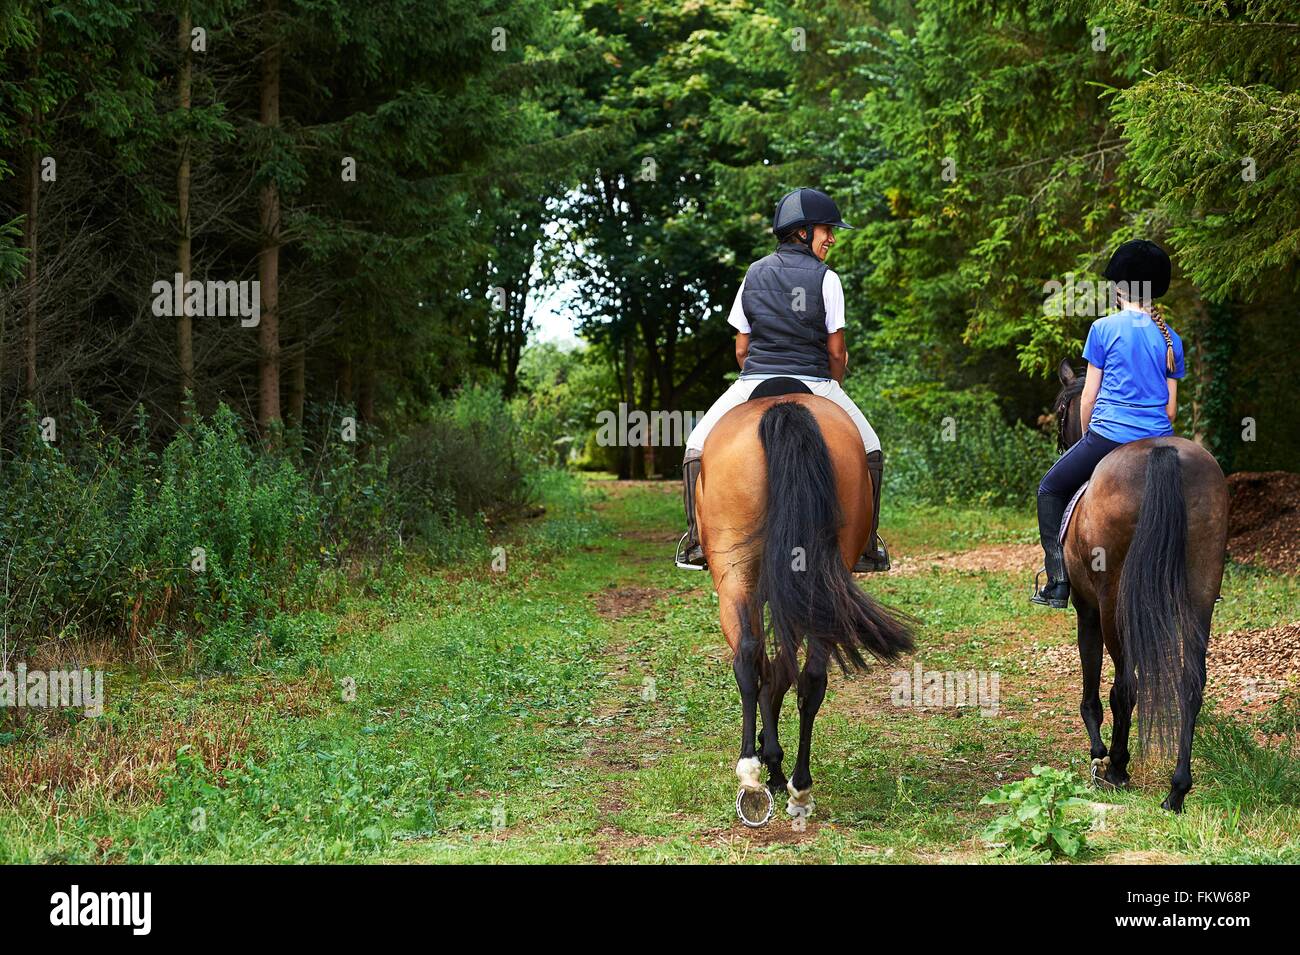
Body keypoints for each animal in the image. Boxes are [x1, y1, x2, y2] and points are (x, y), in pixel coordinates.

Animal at [691, 384, 915, 826]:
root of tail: (783, 408)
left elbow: (769, 672)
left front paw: (768, 761)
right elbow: (781, 673)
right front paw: (775, 761)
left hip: (734, 575)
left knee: (748, 660)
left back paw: (752, 775)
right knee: (810, 678)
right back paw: (799, 786)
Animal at [1055, 361, 1227, 810]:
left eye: (1061, 409)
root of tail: (1162, 453)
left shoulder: (1086, 608)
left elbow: (1093, 686)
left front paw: (1098, 755)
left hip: (1113, 600)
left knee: (1126, 685)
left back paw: (1117, 767)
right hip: (1201, 592)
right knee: (1190, 682)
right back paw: (1177, 790)